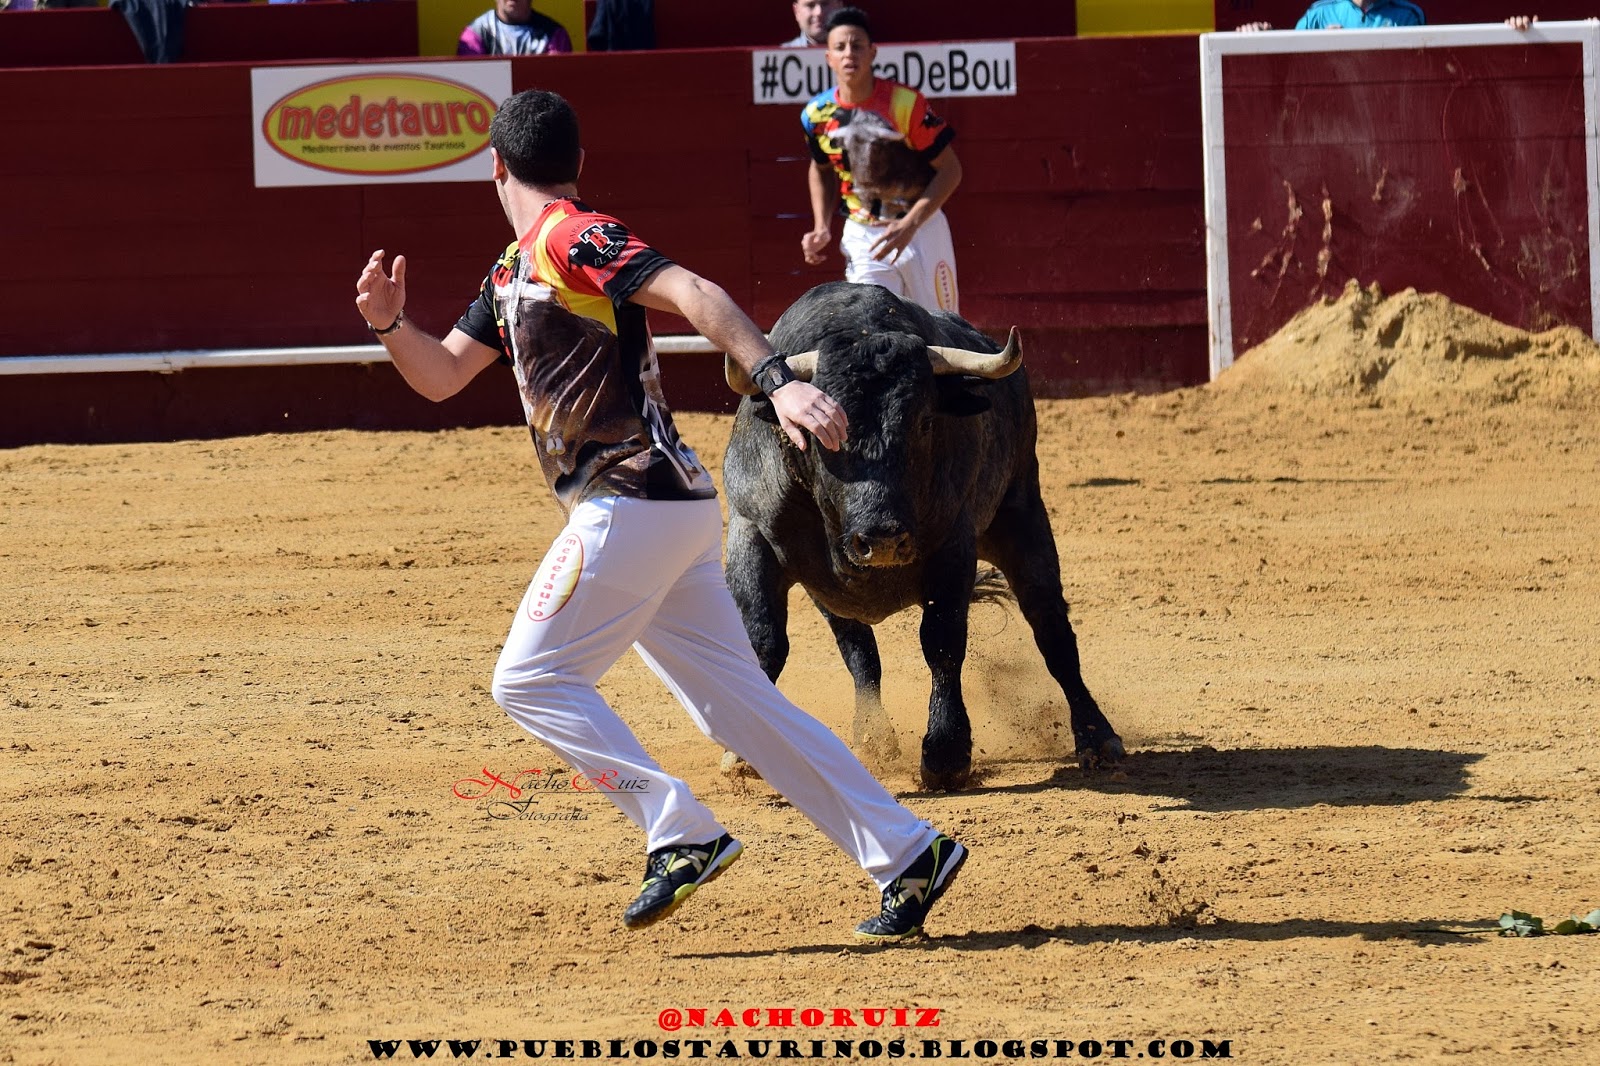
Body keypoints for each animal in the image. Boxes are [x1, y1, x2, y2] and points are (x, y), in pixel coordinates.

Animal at [721, 282, 1124, 790]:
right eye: (818, 432)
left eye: (925, 422)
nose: (882, 541)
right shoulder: (751, 533)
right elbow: (765, 643)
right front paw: (742, 748)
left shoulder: (953, 548)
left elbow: (942, 641)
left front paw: (946, 753)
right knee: (858, 649)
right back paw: (872, 736)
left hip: (1022, 514)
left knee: (1051, 629)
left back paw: (1098, 738)